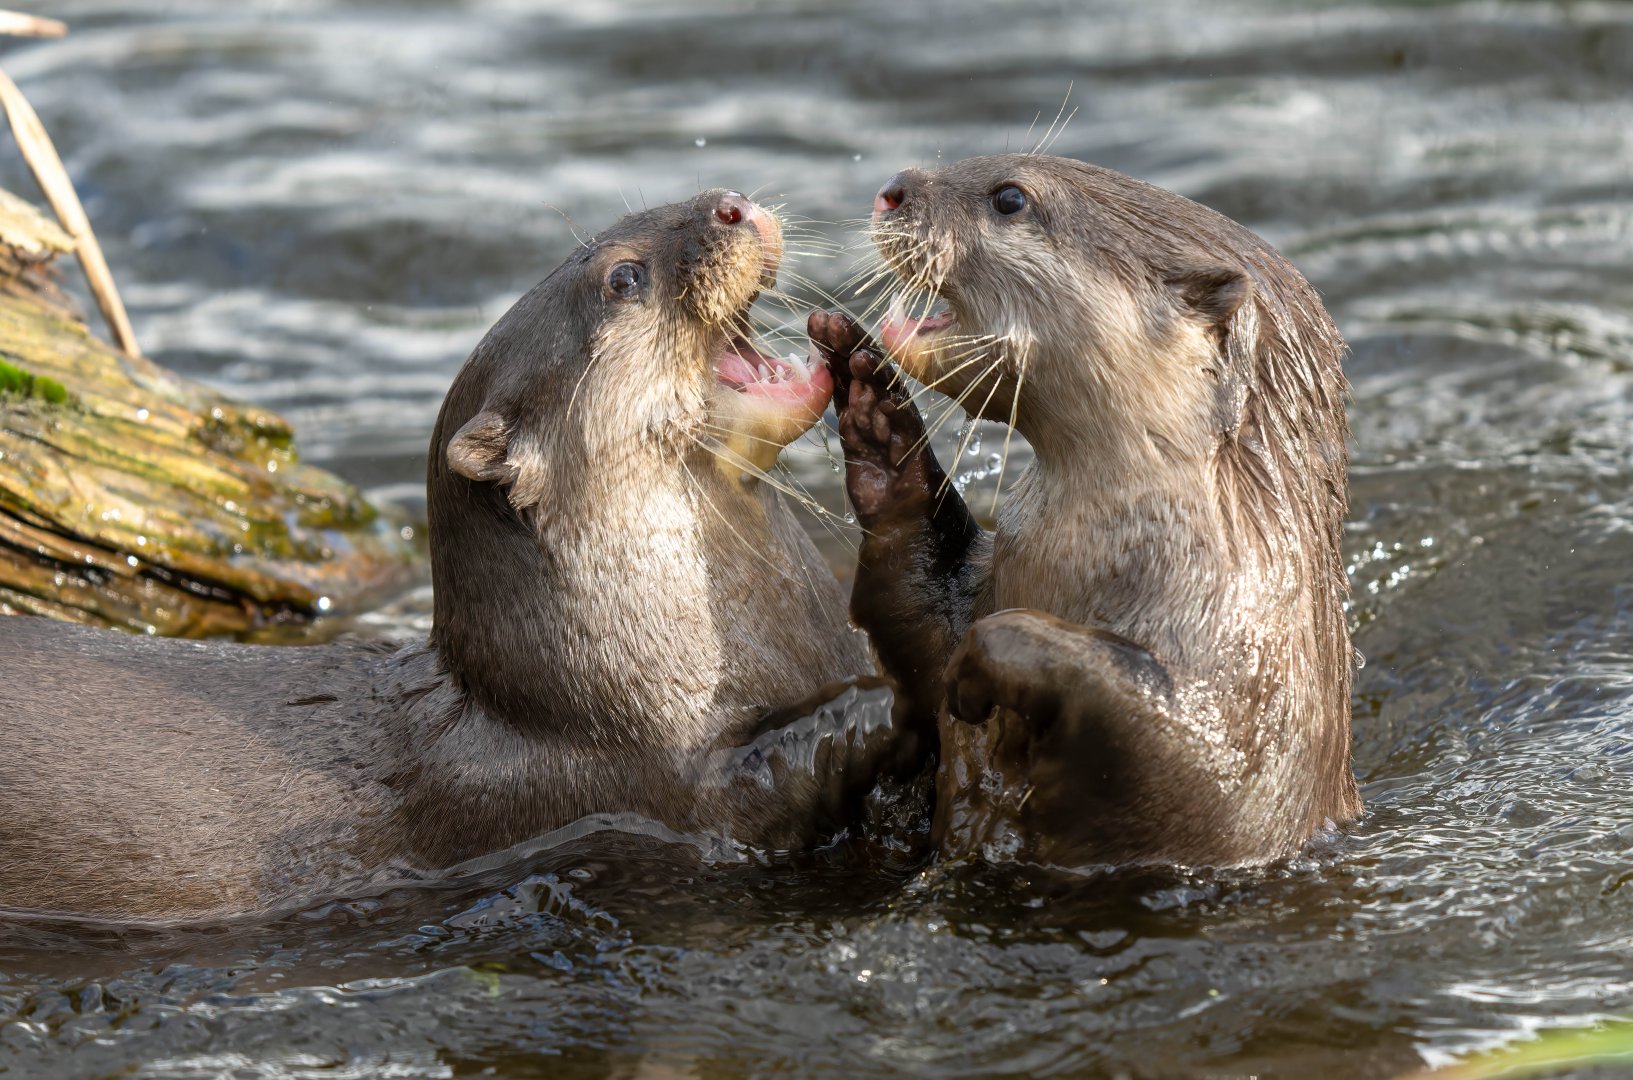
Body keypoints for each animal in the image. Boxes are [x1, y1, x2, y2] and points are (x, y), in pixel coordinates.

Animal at [0, 189, 904, 921]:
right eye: (623, 279)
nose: (729, 203)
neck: (605, 684)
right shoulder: (639, 787)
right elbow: (779, 777)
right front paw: (888, 700)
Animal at [808, 153, 1359, 869]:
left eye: (1010, 198)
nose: (892, 189)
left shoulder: (1246, 754)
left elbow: (1158, 740)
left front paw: (989, 658)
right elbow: (919, 623)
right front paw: (879, 418)